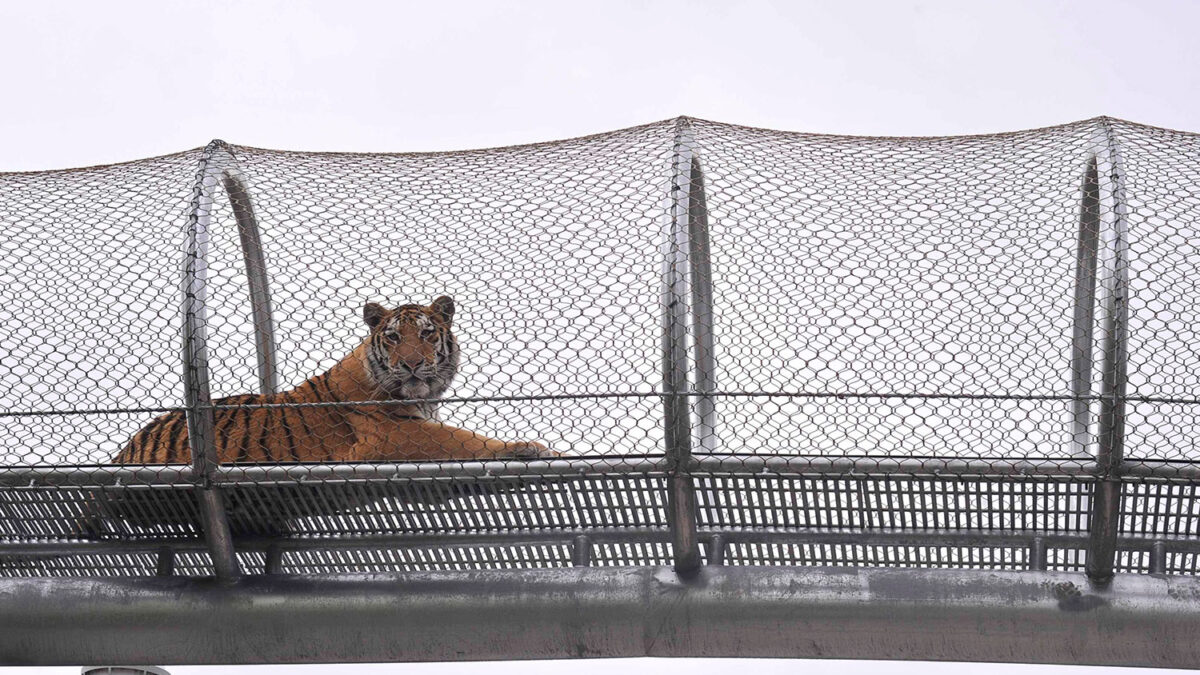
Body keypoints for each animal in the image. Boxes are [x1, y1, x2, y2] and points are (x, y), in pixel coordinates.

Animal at [117, 294, 552, 461]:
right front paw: (530, 447)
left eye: (428, 333)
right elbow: (465, 439)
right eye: (394, 337)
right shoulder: (394, 432)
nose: (411, 364)